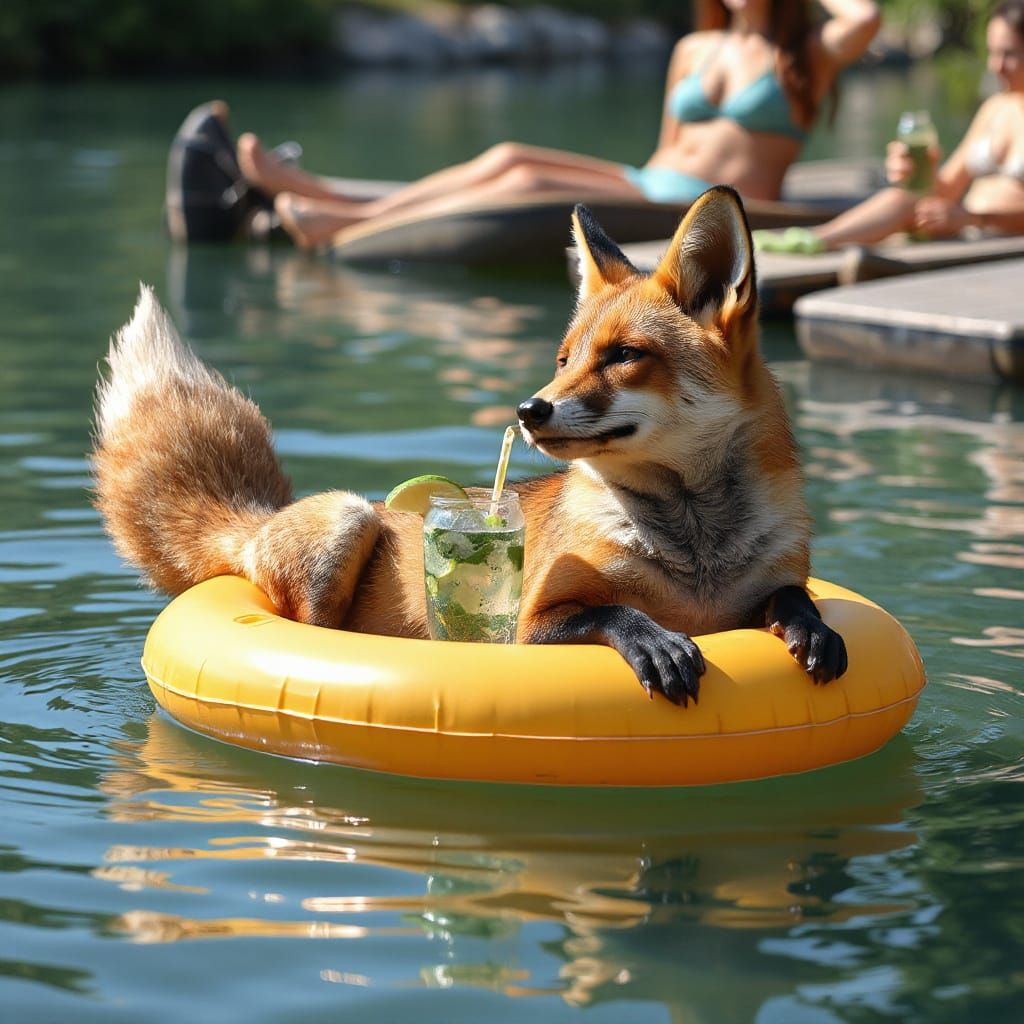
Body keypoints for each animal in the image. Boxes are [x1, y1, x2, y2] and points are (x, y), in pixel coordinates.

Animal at [92, 186, 846, 706]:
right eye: (565, 358)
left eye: (625, 356)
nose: (529, 409)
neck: (696, 557)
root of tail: (255, 524)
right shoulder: (533, 623)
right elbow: (615, 610)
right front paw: (656, 642)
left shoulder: (770, 583)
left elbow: (793, 599)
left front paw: (812, 631)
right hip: (344, 525)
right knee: (313, 629)